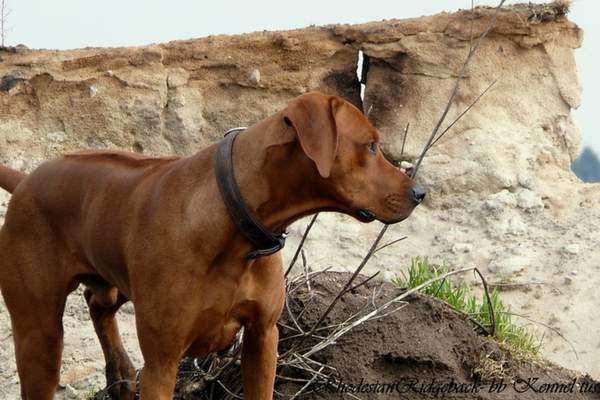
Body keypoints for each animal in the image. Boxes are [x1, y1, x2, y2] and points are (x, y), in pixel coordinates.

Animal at [0, 92, 422, 398]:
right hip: (39, 334)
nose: (420, 192)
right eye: (371, 146)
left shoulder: (263, 337)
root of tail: (26, 180)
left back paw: (119, 368)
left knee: (98, 304)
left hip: (115, 281)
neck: (236, 225)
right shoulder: (162, 363)